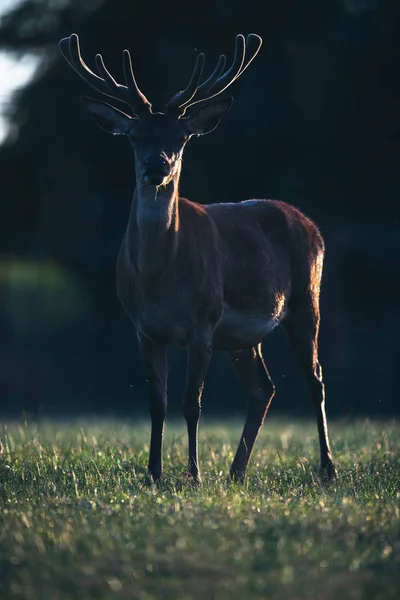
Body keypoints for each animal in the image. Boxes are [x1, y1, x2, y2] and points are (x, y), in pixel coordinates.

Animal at [57, 31, 336, 482]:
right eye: (135, 136)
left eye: (181, 137)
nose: (157, 165)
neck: (159, 279)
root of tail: (310, 224)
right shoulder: (143, 330)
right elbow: (157, 405)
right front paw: (153, 474)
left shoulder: (202, 324)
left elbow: (193, 404)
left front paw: (193, 474)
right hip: (243, 337)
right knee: (264, 388)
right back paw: (237, 471)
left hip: (305, 300)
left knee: (315, 380)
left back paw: (327, 468)